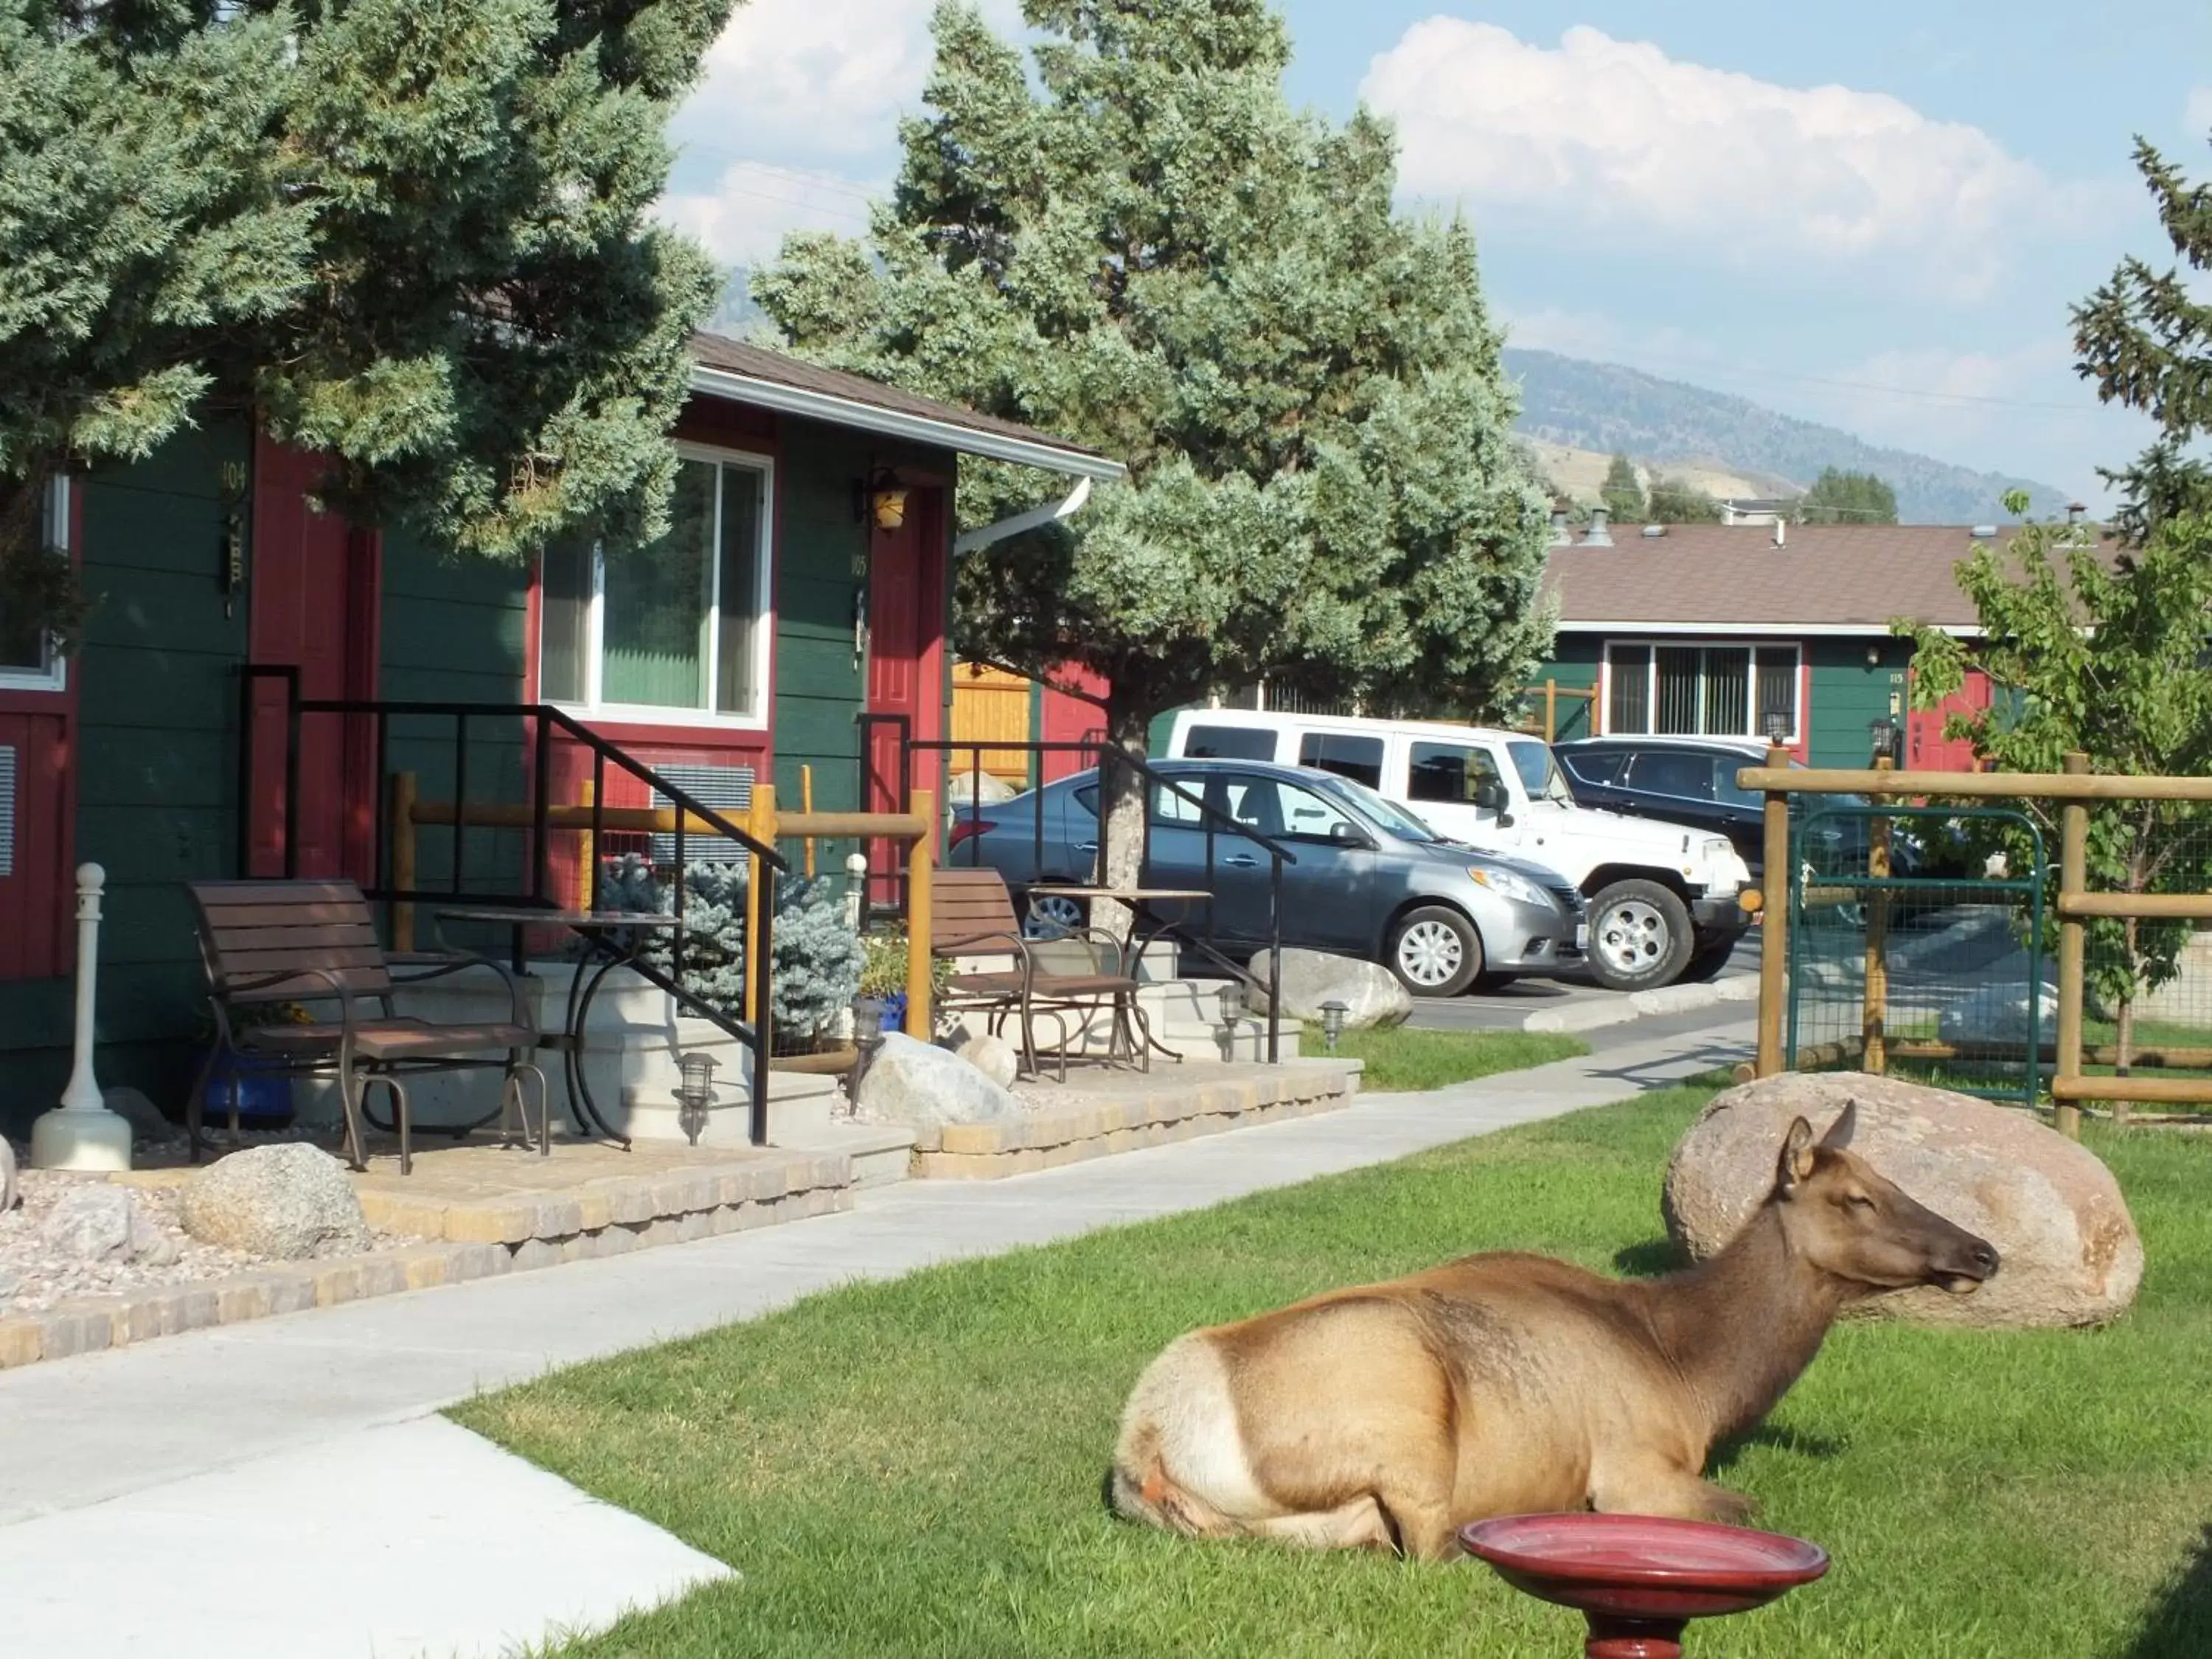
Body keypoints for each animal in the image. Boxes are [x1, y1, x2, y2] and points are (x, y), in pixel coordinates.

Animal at [1115, 1110, 2000, 1566]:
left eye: (1894, 1181)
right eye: (1858, 1199)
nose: (1982, 1253)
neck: (1699, 1377)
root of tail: (1147, 1448)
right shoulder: (1636, 1468)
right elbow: (1746, 1507)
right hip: (1408, 1424)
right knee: (1432, 1546)